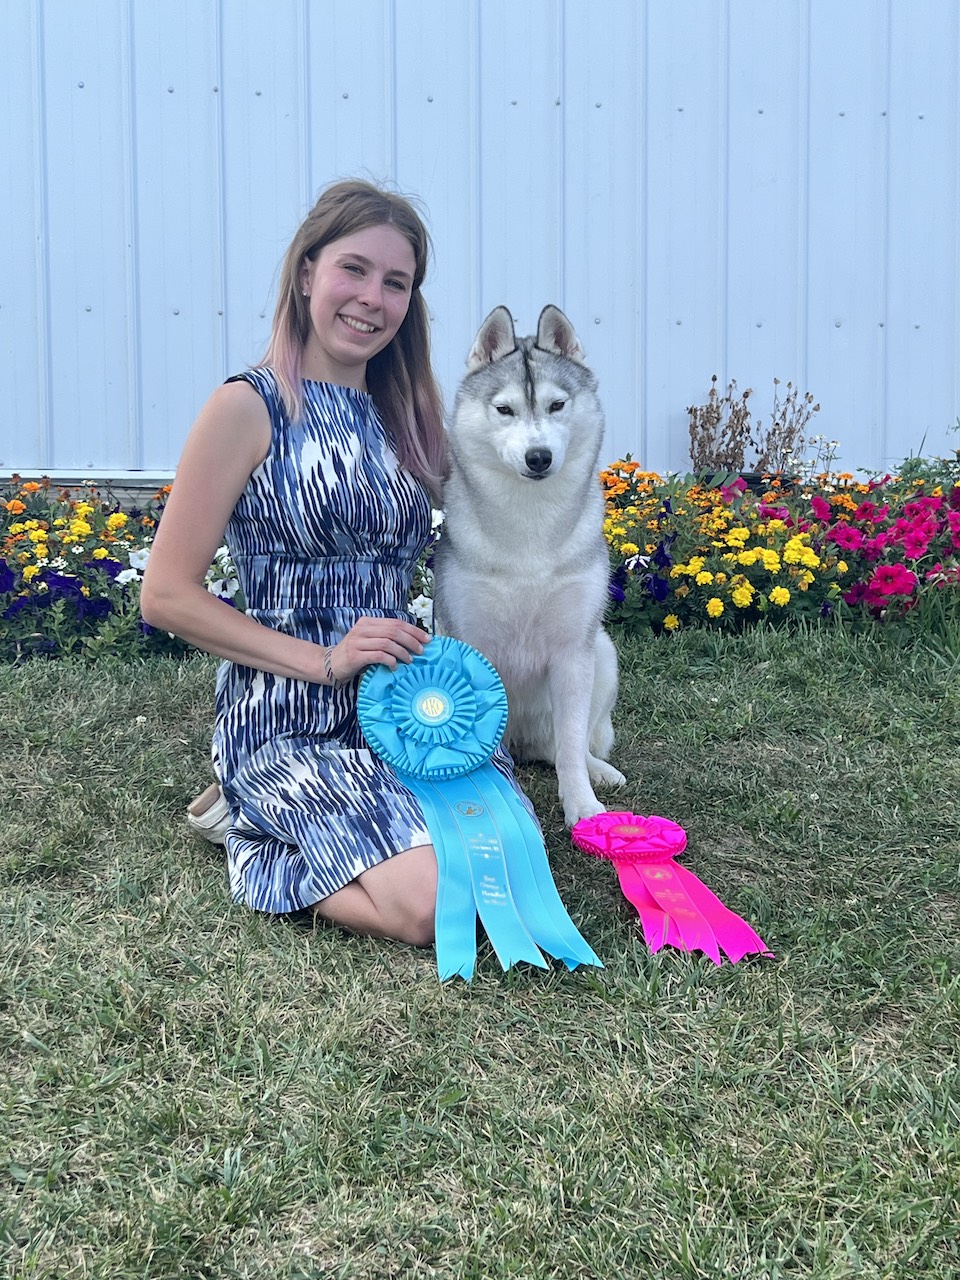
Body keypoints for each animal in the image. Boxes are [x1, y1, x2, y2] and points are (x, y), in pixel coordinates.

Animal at [433, 304, 625, 826]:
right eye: (505, 410)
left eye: (557, 406)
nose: (538, 456)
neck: (531, 529)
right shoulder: (472, 643)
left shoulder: (574, 651)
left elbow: (572, 743)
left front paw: (582, 803)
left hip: (603, 653)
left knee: (563, 745)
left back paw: (597, 768)